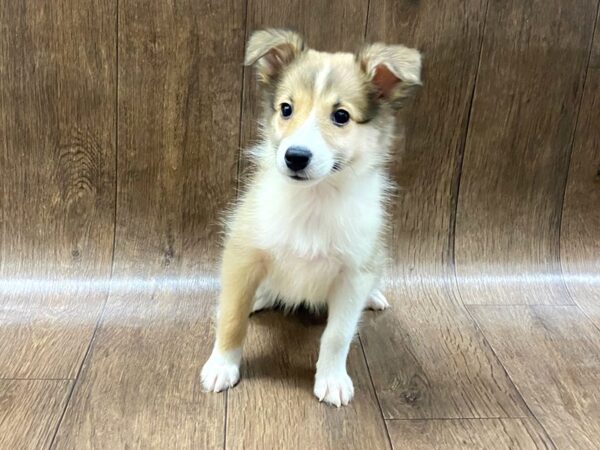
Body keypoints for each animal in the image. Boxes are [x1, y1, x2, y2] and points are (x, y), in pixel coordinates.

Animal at [202, 29, 422, 408]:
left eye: (341, 116)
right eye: (286, 109)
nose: (295, 157)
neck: (314, 199)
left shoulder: (353, 274)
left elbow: (337, 335)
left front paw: (332, 380)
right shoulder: (243, 253)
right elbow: (231, 318)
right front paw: (222, 366)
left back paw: (374, 297)